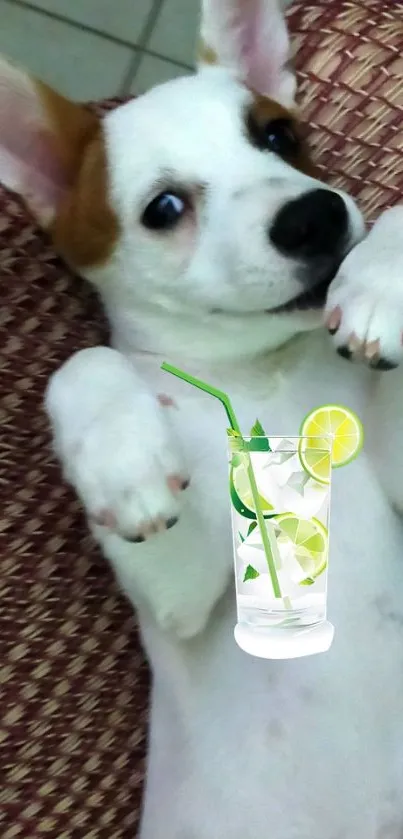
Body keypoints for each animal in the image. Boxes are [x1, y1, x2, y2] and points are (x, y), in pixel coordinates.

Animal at [0, 1, 403, 839]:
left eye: (278, 136)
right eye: (163, 209)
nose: (315, 216)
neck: (258, 372)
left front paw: (380, 279)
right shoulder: (181, 598)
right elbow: (85, 361)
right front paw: (123, 456)